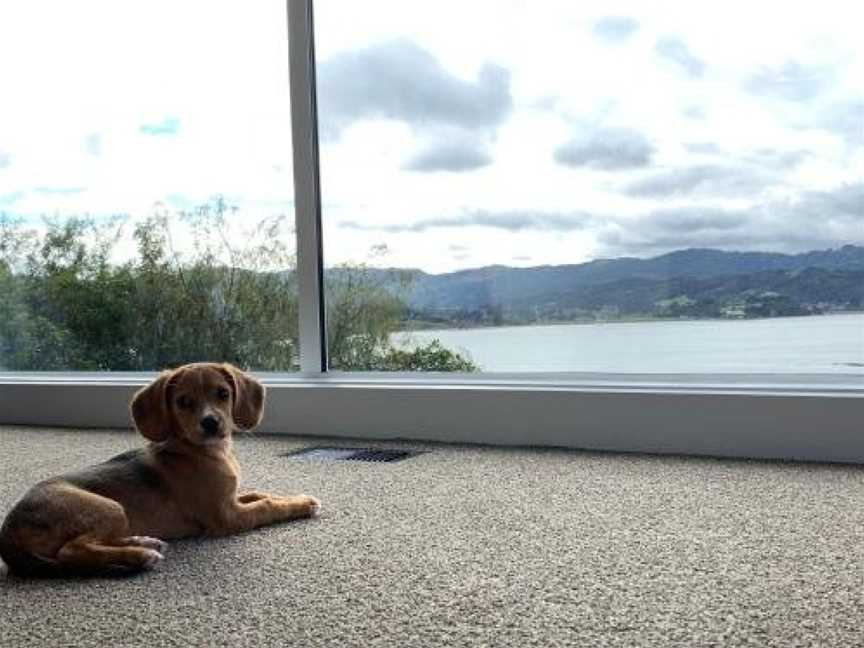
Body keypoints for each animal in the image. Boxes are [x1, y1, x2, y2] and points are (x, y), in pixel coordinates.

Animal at [0, 362, 320, 580]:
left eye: (223, 393)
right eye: (183, 402)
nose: (211, 423)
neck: (200, 450)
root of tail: (8, 531)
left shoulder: (231, 498)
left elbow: (260, 494)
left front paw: (295, 497)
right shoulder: (227, 517)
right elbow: (266, 506)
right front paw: (302, 504)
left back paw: (141, 540)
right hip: (108, 506)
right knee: (73, 550)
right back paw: (140, 555)